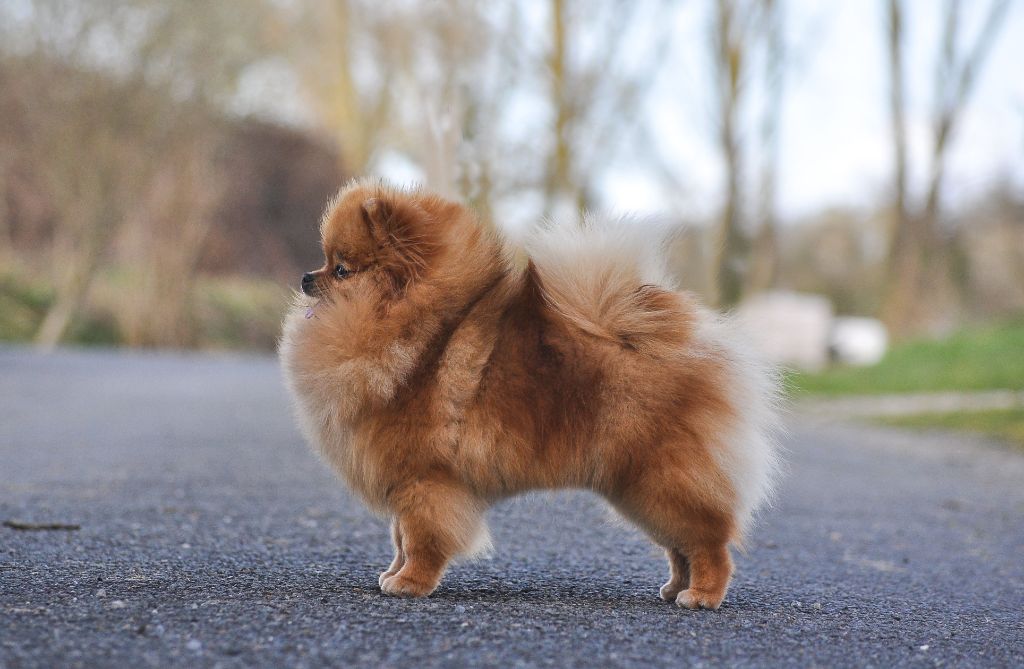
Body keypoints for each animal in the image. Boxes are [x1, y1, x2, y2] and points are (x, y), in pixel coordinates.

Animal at [279, 180, 780, 609]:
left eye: (341, 269)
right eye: (326, 261)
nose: (305, 276)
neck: (414, 329)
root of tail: (678, 342)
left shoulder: (427, 480)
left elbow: (420, 538)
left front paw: (411, 583)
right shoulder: (408, 481)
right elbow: (400, 537)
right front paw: (393, 573)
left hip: (657, 483)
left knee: (709, 542)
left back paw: (703, 595)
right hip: (642, 490)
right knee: (682, 546)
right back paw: (676, 588)